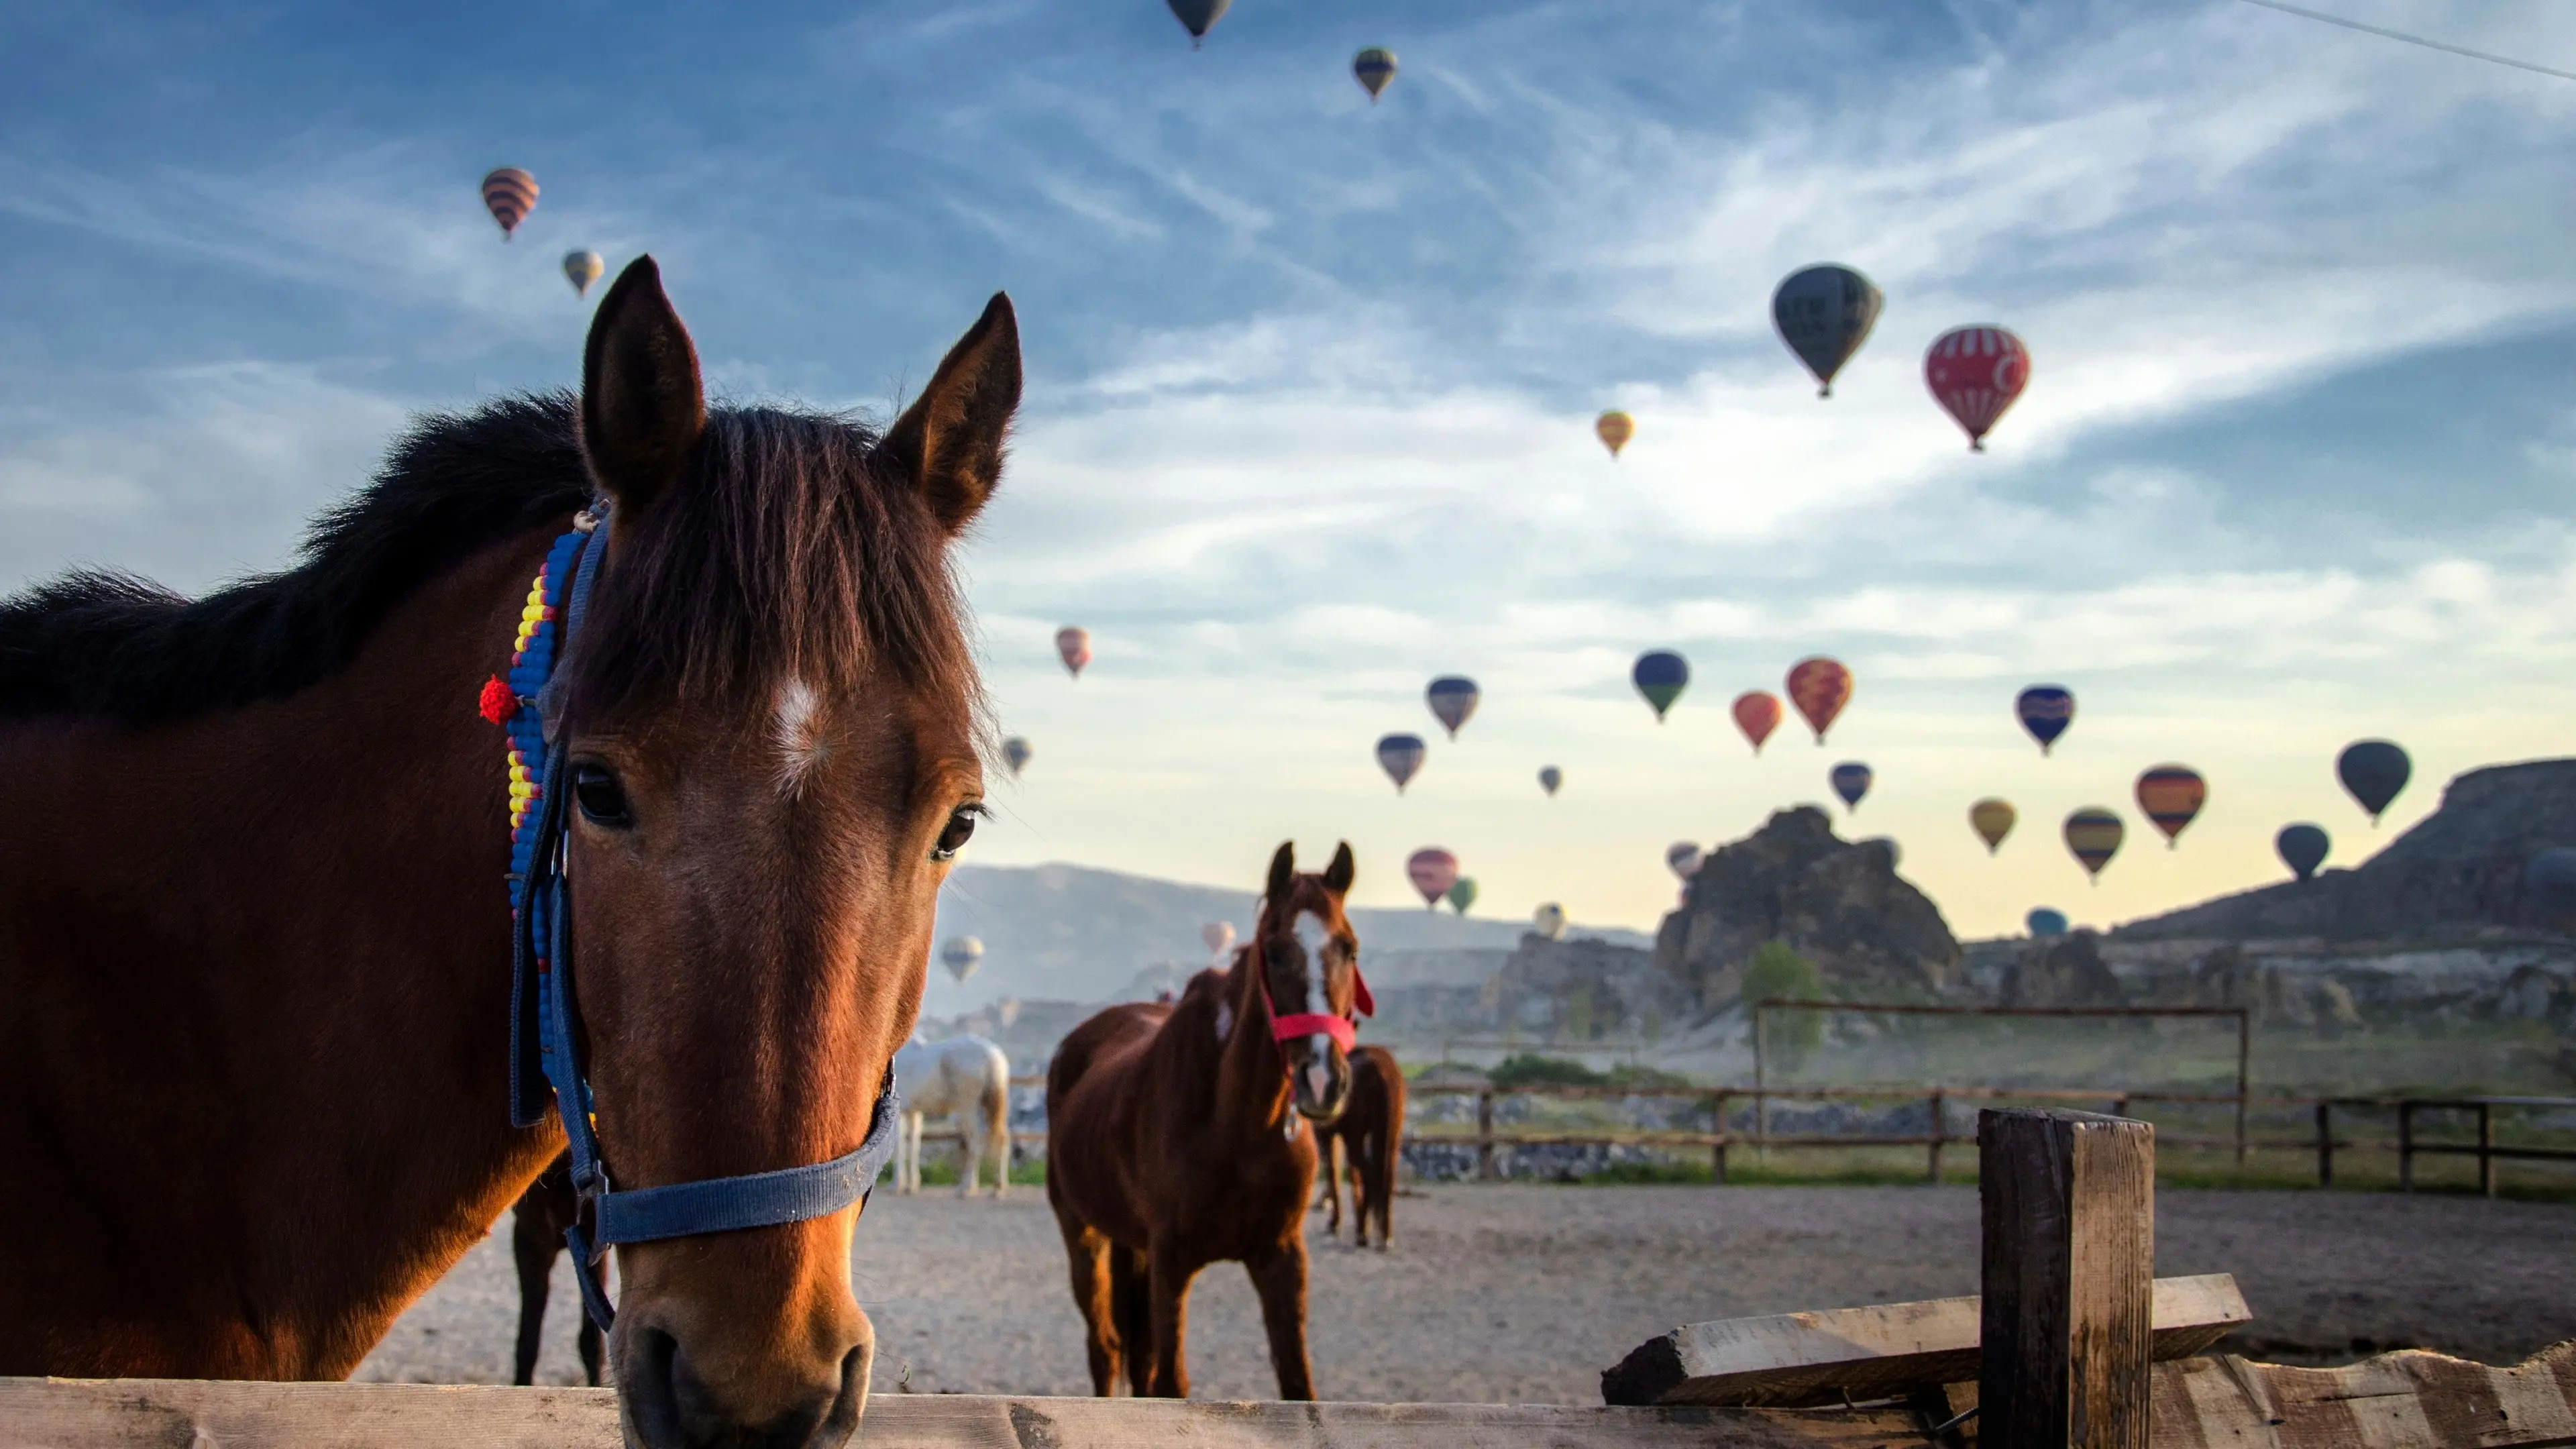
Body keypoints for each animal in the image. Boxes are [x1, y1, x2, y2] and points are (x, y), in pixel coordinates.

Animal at [885, 1031, 1004, 1191]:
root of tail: (993, 1057)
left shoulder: (902, 1111)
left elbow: (900, 1145)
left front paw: (896, 1184)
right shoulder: (914, 1112)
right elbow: (914, 1145)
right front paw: (912, 1184)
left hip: (967, 1109)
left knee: (975, 1141)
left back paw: (966, 1187)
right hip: (990, 1109)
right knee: (1002, 1138)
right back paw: (998, 1187)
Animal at [1040, 840, 1370, 1392]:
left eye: (1349, 948)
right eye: (1275, 951)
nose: (1324, 1079)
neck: (1238, 1126)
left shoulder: (1282, 1258)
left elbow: (1298, 1387)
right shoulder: (1172, 1261)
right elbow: (1171, 1383)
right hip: (1083, 1235)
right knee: (1105, 1348)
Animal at [1319, 1041, 1401, 1248]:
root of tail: (1380, 1067)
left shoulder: (1327, 1135)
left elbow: (1334, 1173)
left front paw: (1335, 1222)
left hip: (1355, 1139)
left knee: (1367, 1173)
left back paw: (1363, 1231)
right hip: (1391, 1139)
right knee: (1386, 1178)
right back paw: (1384, 1234)